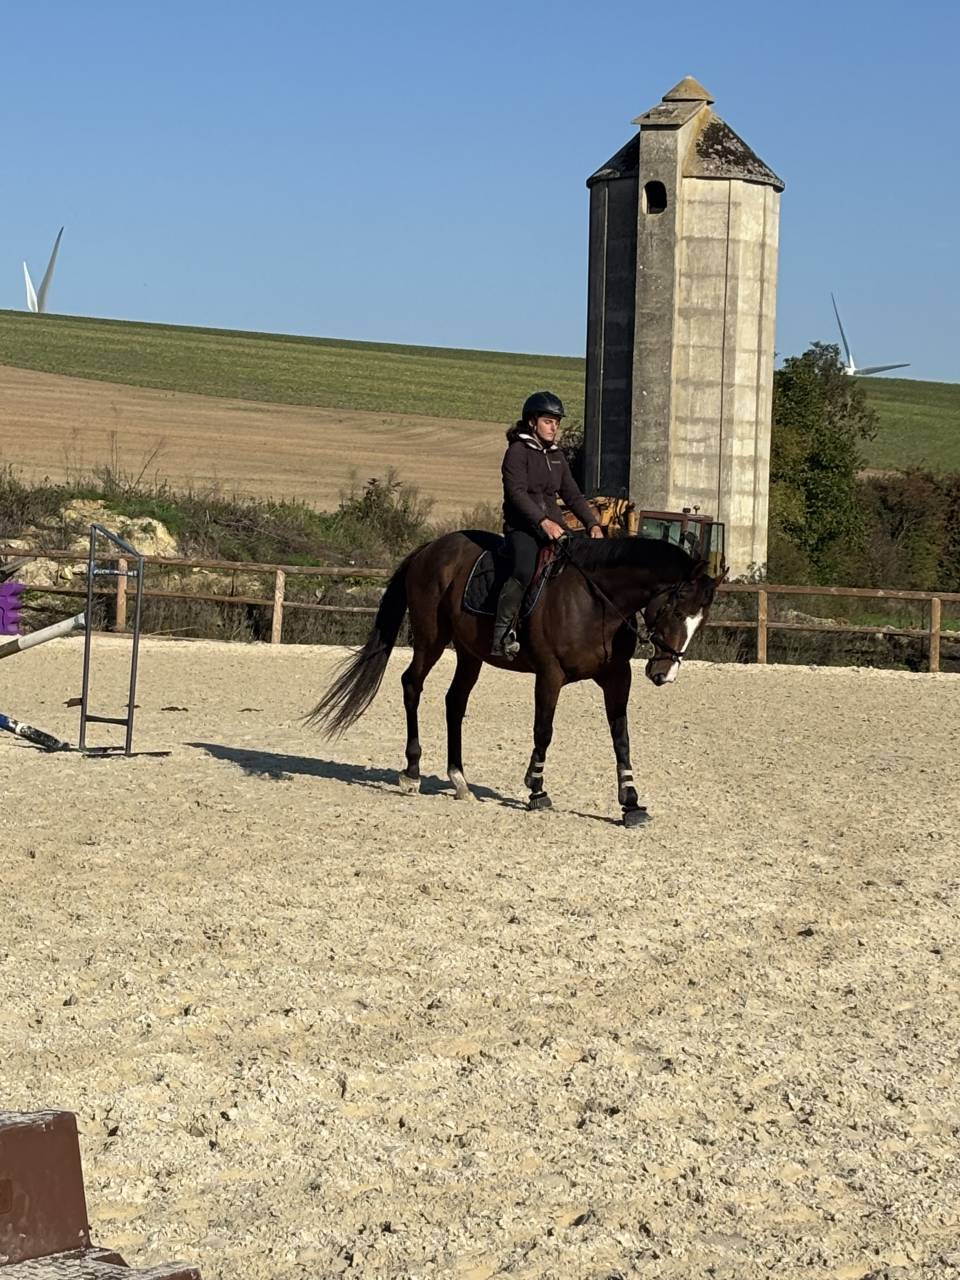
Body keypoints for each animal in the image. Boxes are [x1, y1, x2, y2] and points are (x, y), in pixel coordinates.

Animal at [310, 531, 724, 825]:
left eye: (700, 620)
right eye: (675, 609)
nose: (664, 673)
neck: (596, 601)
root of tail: (429, 549)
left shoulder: (617, 677)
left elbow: (621, 738)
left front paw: (631, 804)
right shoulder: (550, 675)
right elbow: (544, 731)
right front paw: (536, 791)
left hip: (469, 653)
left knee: (454, 702)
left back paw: (459, 780)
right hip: (431, 639)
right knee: (412, 685)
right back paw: (412, 772)